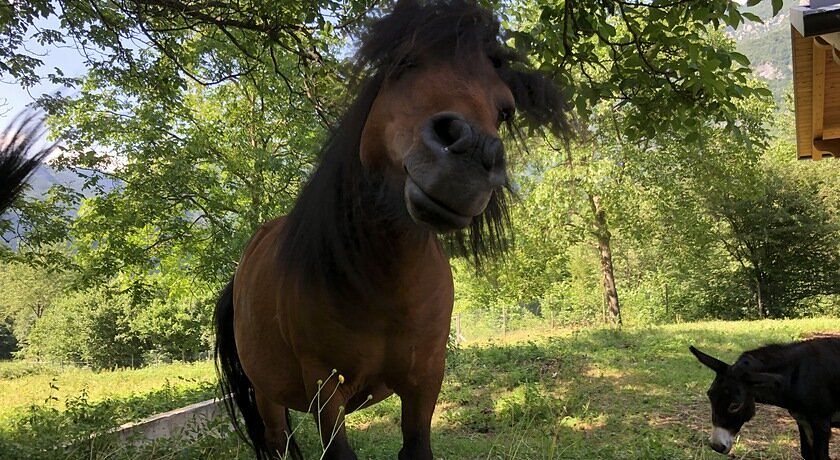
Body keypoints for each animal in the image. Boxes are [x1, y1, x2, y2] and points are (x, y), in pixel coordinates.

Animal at [217, 1, 568, 458]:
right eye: (404, 62)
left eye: (505, 110)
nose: (471, 154)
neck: (380, 288)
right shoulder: (325, 388)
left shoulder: (426, 382)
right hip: (267, 395)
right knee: (277, 443)